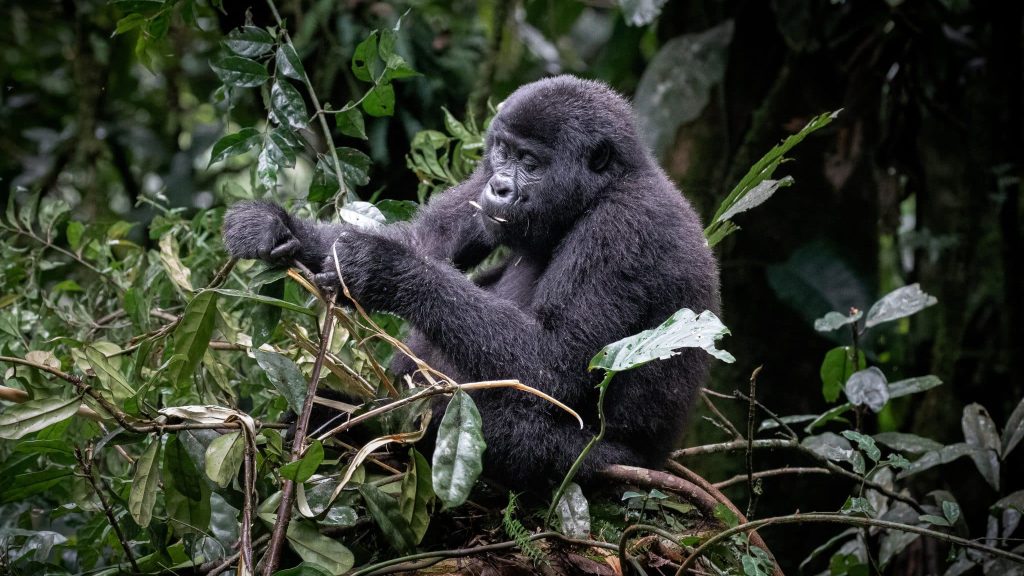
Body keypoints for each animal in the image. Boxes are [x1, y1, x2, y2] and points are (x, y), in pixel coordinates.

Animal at [224, 73, 720, 485]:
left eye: (531, 163)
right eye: (502, 152)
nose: (499, 186)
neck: (605, 186)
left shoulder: (622, 229)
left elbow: (556, 366)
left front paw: (383, 268)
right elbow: (425, 239)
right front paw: (274, 226)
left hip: (611, 464)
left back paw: (367, 427)